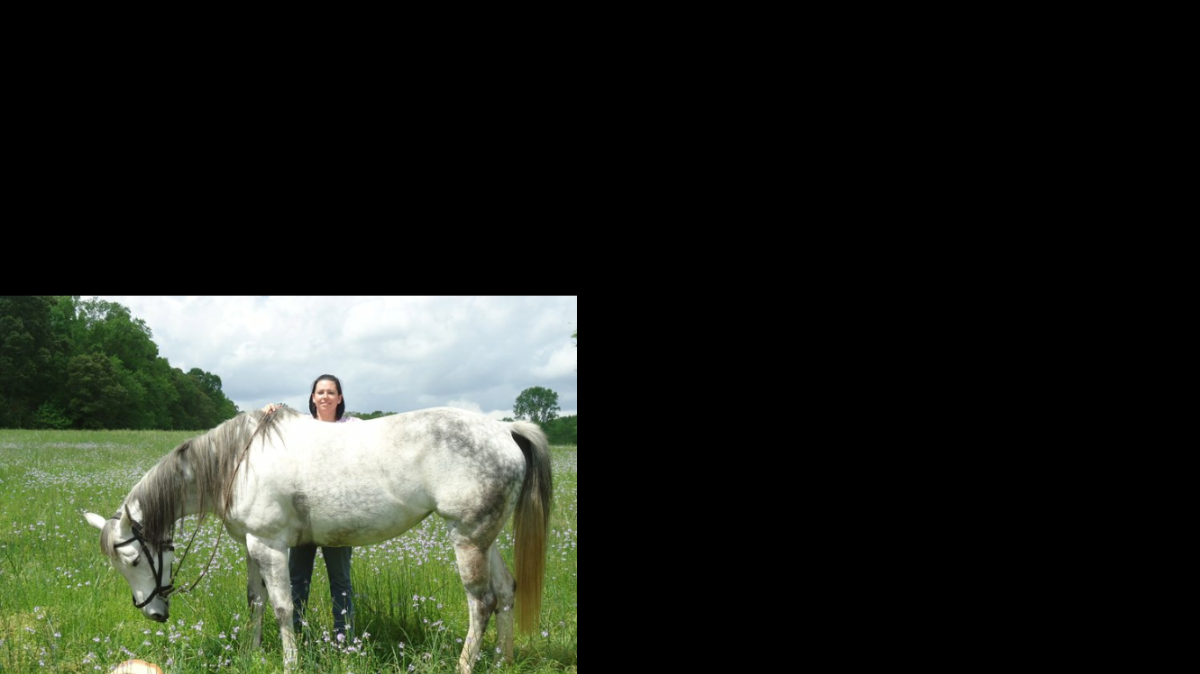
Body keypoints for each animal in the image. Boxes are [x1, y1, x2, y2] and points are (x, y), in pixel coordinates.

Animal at [83, 405, 552, 674]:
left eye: (133, 561)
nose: (154, 614)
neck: (237, 461)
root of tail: (505, 430)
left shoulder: (270, 545)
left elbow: (282, 606)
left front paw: (290, 663)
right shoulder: (251, 546)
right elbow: (255, 602)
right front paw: (253, 653)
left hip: (467, 539)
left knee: (481, 602)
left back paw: (465, 665)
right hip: (485, 538)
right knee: (505, 591)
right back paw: (503, 660)